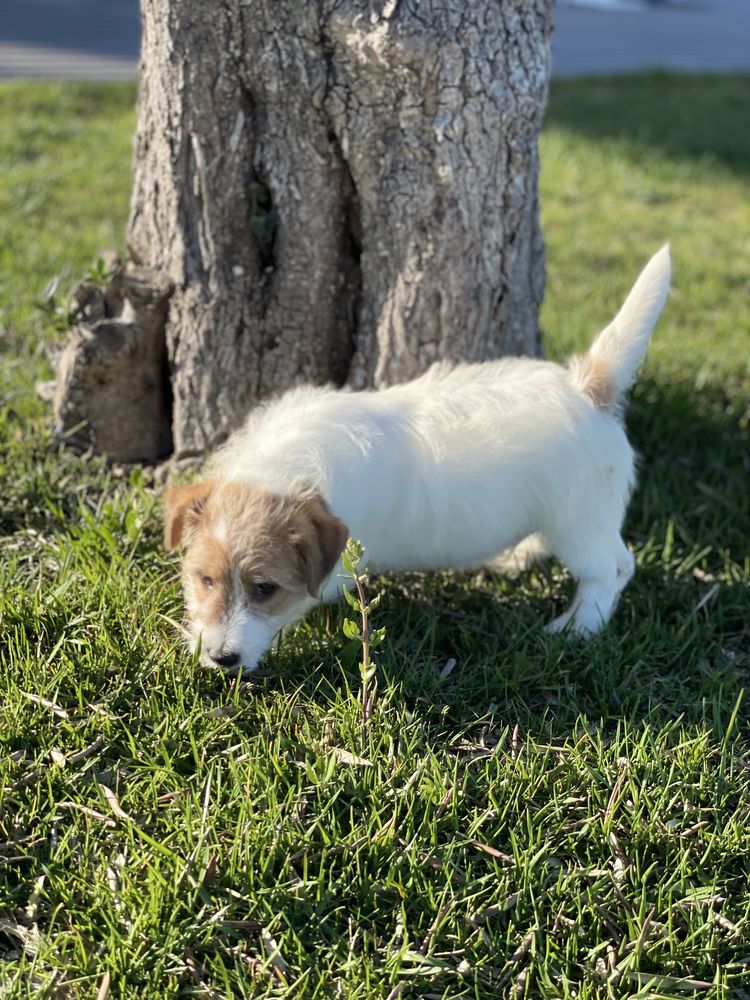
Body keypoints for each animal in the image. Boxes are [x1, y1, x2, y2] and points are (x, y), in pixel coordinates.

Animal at [167, 246, 672, 676]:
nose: (221, 658)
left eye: (265, 589)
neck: (283, 471)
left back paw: (576, 628)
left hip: (579, 520)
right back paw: (515, 557)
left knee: (612, 569)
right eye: (205, 579)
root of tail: (587, 387)